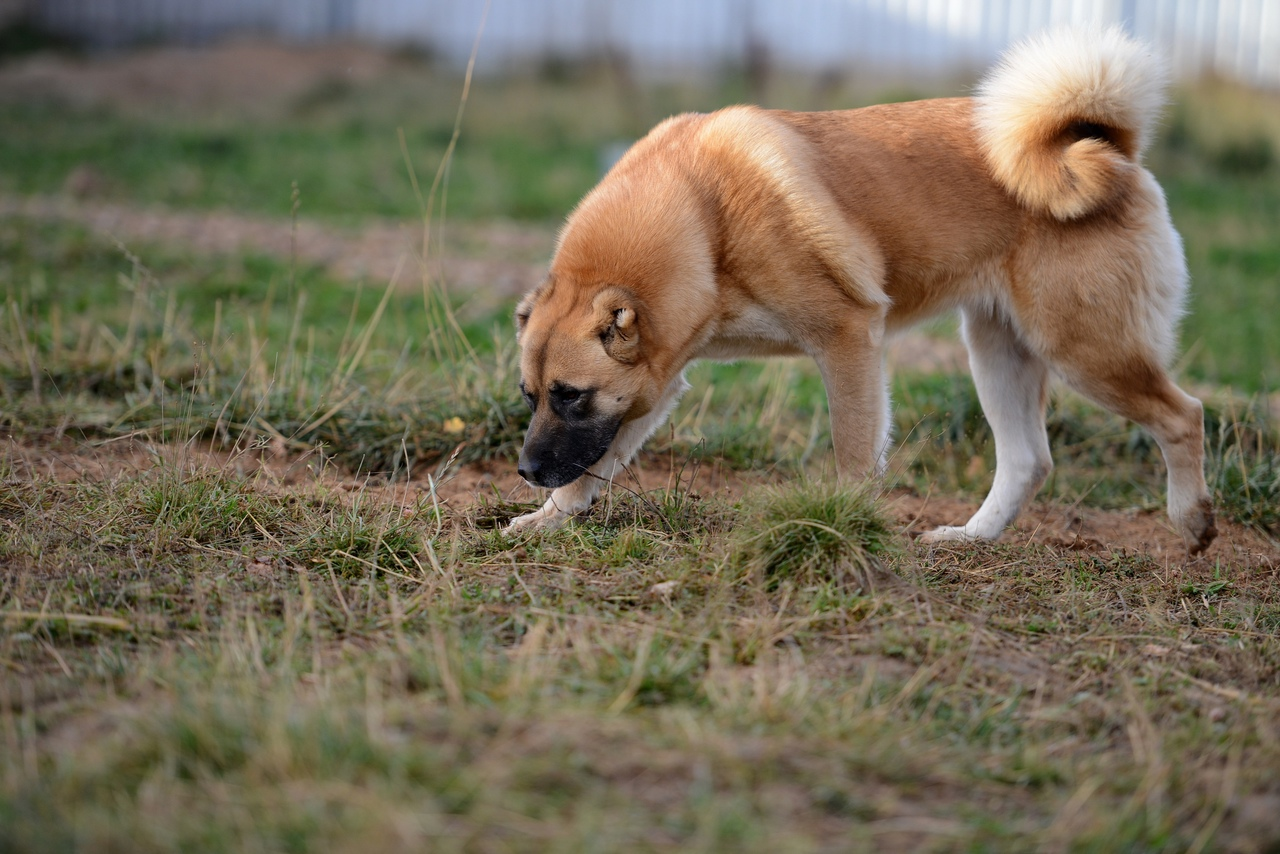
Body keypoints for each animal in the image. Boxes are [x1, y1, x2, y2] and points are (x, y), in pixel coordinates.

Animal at [504, 25, 1213, 555]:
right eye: (531, 396)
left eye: (570, 396)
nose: (525, 472)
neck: (705, 217)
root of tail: (1109, 145)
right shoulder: (653, 383)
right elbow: (594, 467)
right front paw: (546, 519)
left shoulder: (847, 340)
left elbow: (852, 452)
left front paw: (839, 523)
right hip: (998, 351)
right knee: (1028, 461)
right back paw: (969, 538)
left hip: (1086, 352)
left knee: (1184, 415)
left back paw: (1193, 519)